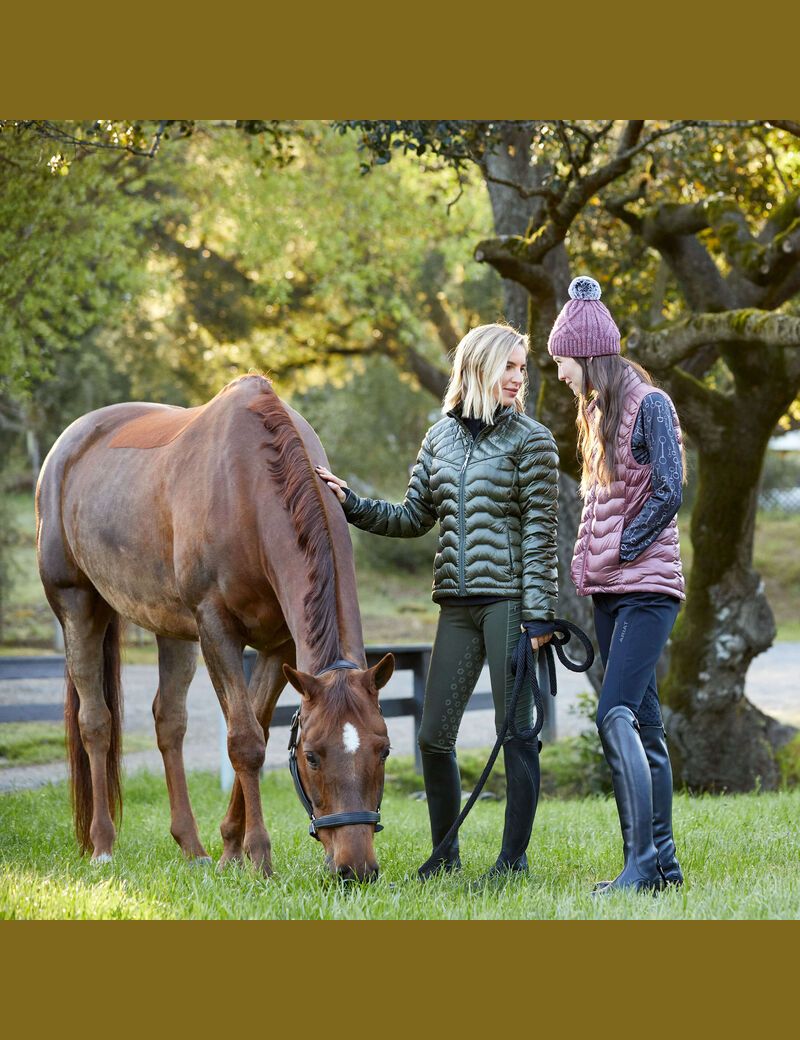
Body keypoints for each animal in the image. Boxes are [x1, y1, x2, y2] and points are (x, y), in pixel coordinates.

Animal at [37, 374, 393, 877]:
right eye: (311, 756)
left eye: (383, 750)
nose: (355, 868)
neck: (247, 490)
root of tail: (65, 447)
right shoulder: (217, 631)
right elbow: (244, 741)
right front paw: (258, 855)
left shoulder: (279, 647)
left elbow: (259, 729)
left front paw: (229, 849)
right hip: (78, 605)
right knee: (96, 723)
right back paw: (103, 845)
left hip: (171, 630)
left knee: (169, 722)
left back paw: (193, 848)